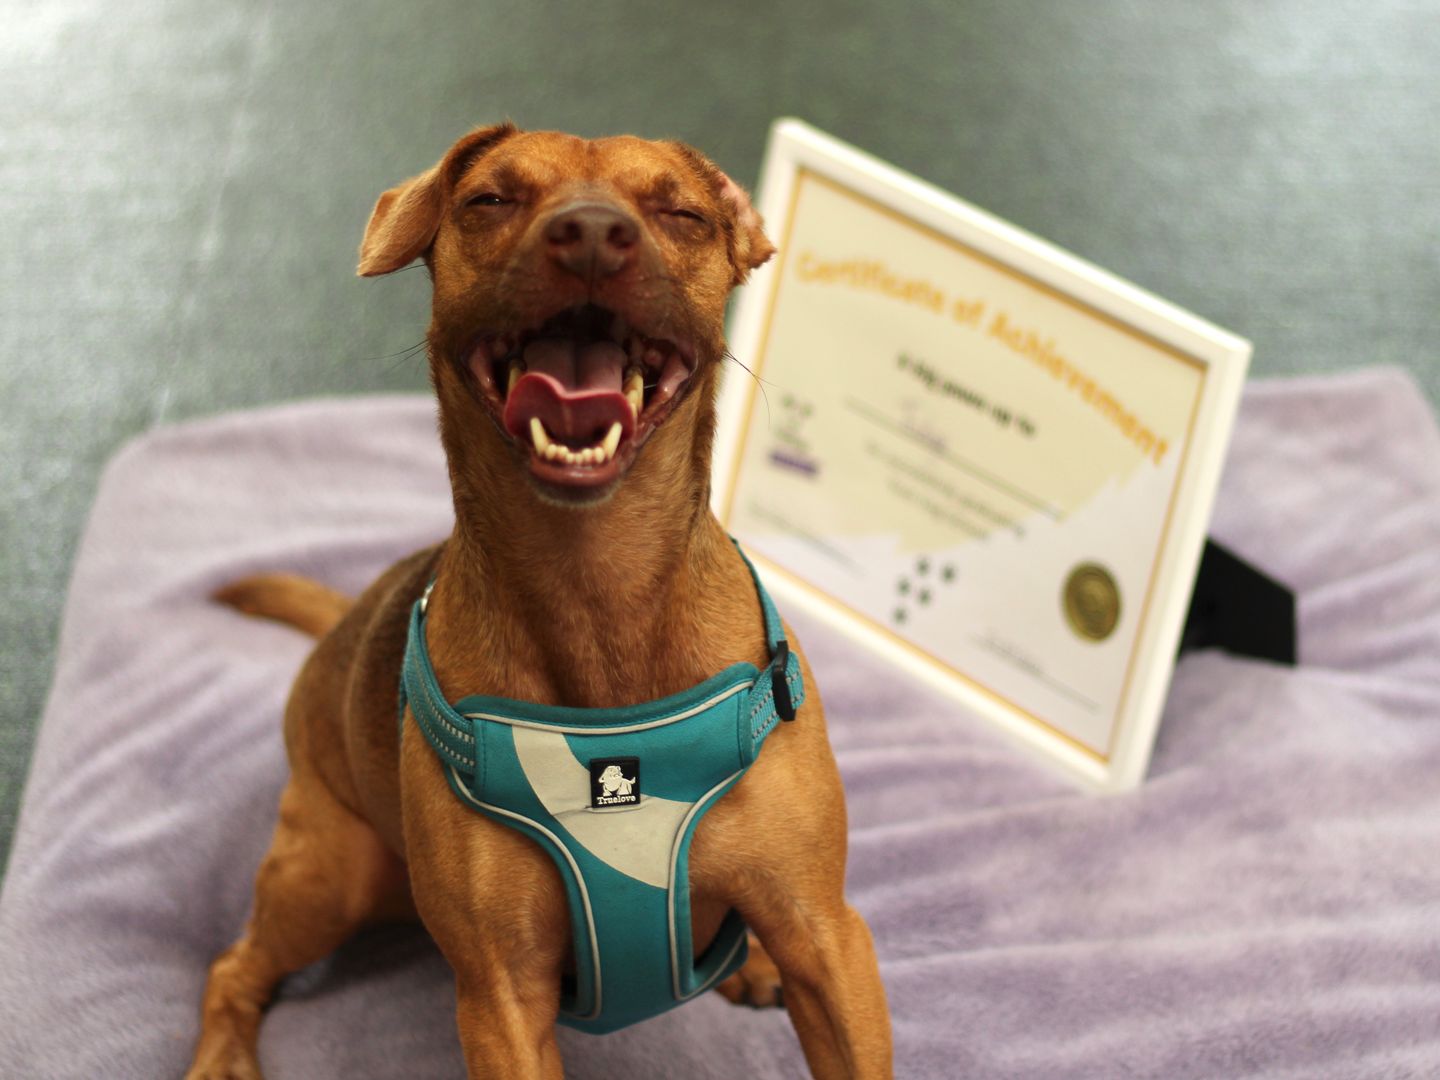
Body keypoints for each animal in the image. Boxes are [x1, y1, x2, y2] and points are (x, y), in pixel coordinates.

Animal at [187, 128, 892, 1080]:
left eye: (681, 213)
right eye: (489, 200)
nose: (591, 234)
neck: (597, 589)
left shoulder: (828, 938)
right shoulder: (501, 996)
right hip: (331, 874)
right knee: (235, 965)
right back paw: (222, 1054)